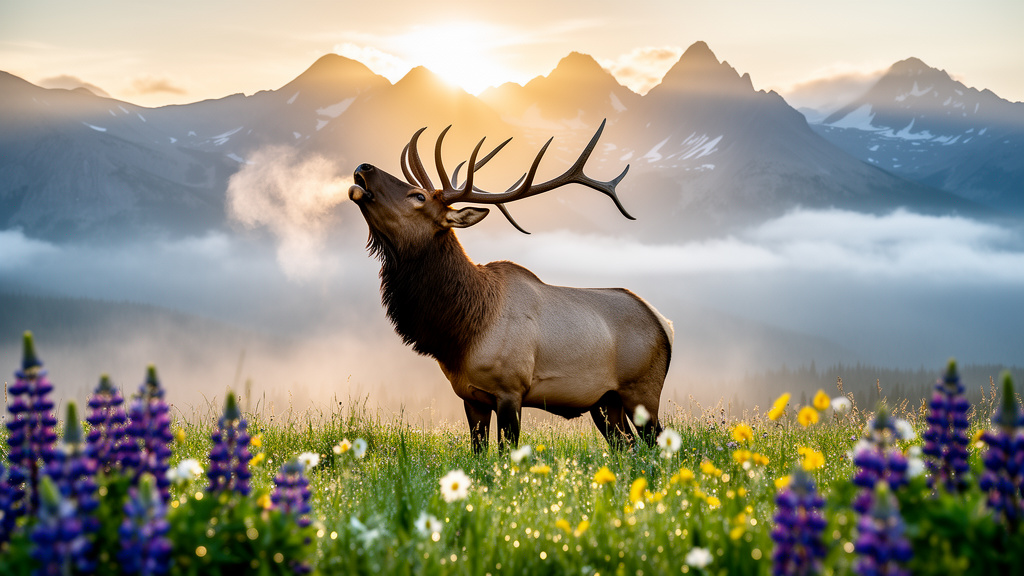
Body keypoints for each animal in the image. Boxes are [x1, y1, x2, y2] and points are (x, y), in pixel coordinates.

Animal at [347, 120, 674, 453]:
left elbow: (507, 452)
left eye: (418, 197)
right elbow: (478, 453)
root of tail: (663, 323)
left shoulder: (510, 389)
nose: (364, 167)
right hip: (605, 402)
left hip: (642, 390)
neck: (461, 332)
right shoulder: (470, 396)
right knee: (627, 446)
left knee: (656, 443)